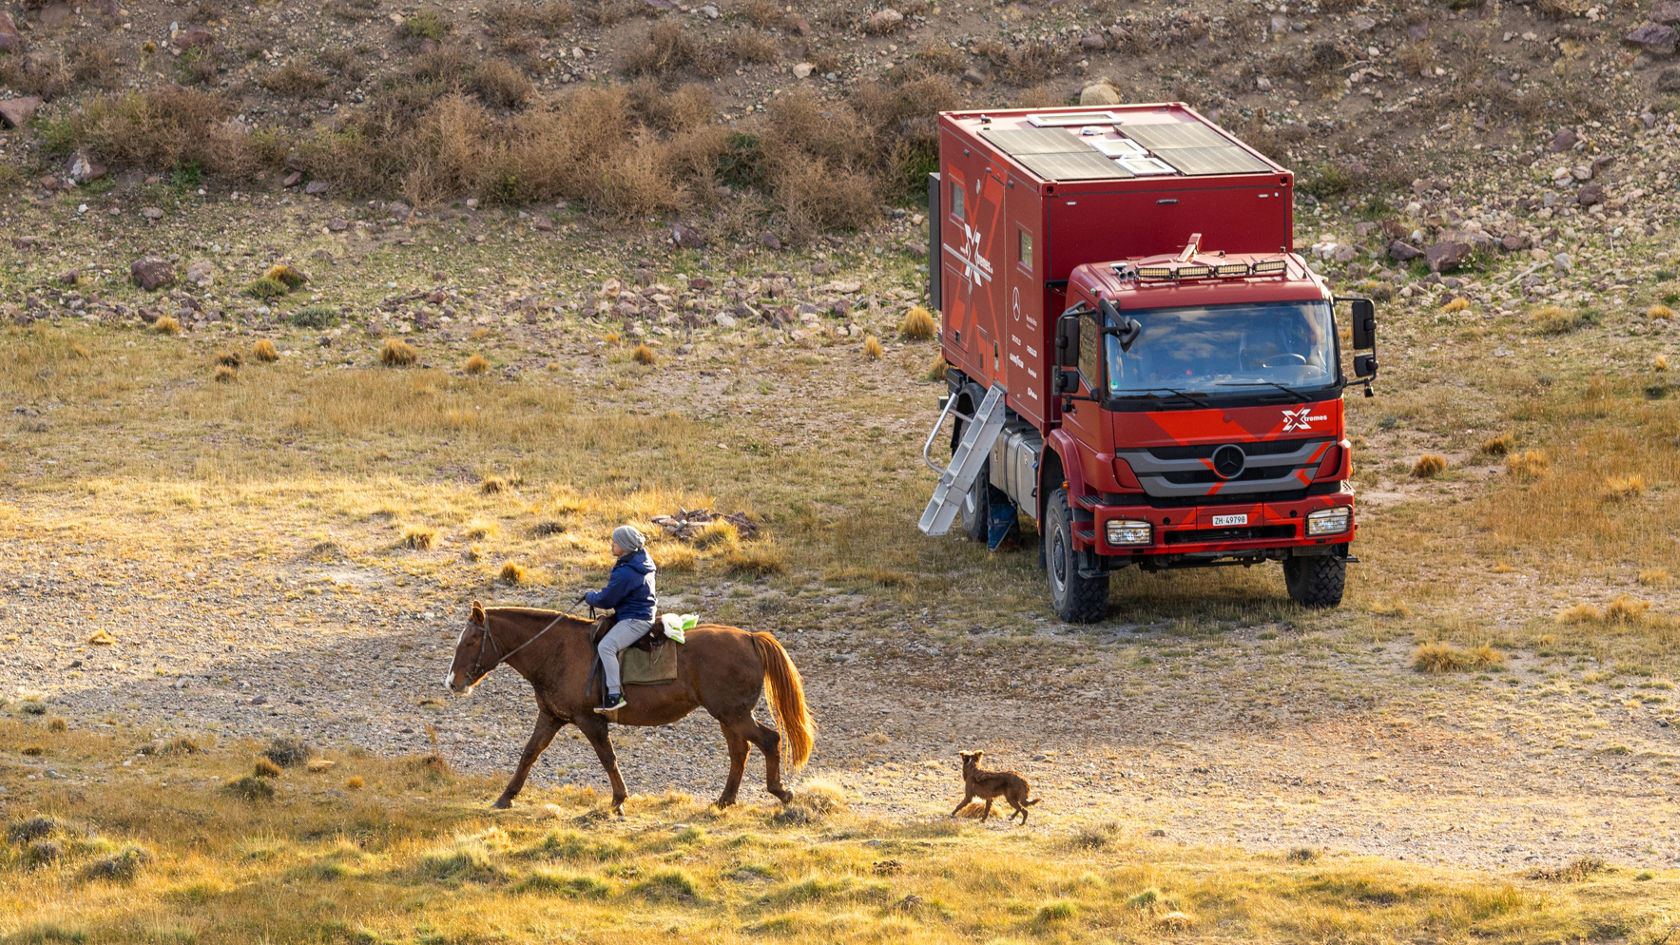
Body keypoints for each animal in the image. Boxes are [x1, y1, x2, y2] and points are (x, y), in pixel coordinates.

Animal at [446, 601, 813, 810]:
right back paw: (726, 800)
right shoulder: (551, 717)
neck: (557, 651)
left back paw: (779, 791)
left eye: (471, 640)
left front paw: (619, 799)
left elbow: (607, 757)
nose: (452, 682)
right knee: (741, 751)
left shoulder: (590, 720)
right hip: (729, 716)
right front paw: (506, 796)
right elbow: (528, 754)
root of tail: (750, 637)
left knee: (769, 740)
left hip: (733, 714)